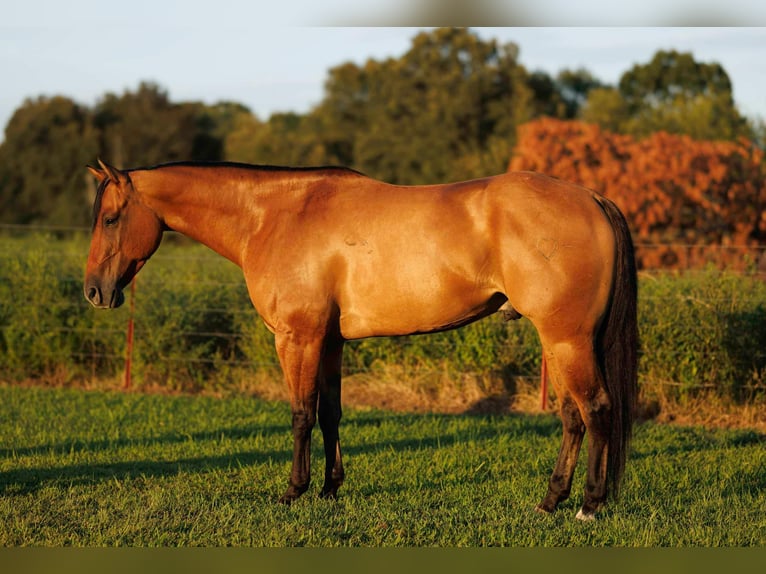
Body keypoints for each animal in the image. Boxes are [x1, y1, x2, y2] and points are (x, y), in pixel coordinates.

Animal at [84, 159, 637, 520]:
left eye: (110, 218)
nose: (94, 291)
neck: (274, 216)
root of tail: (593, 199)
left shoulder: (298, 339)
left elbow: (301, 414)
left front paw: (294, 491)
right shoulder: (330, 342)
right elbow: (330, 414)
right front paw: (330, 489)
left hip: (567, 339)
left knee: (597, 410)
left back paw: (588, 506)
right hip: (558, 342)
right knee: (572, 417)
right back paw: (550, 501)